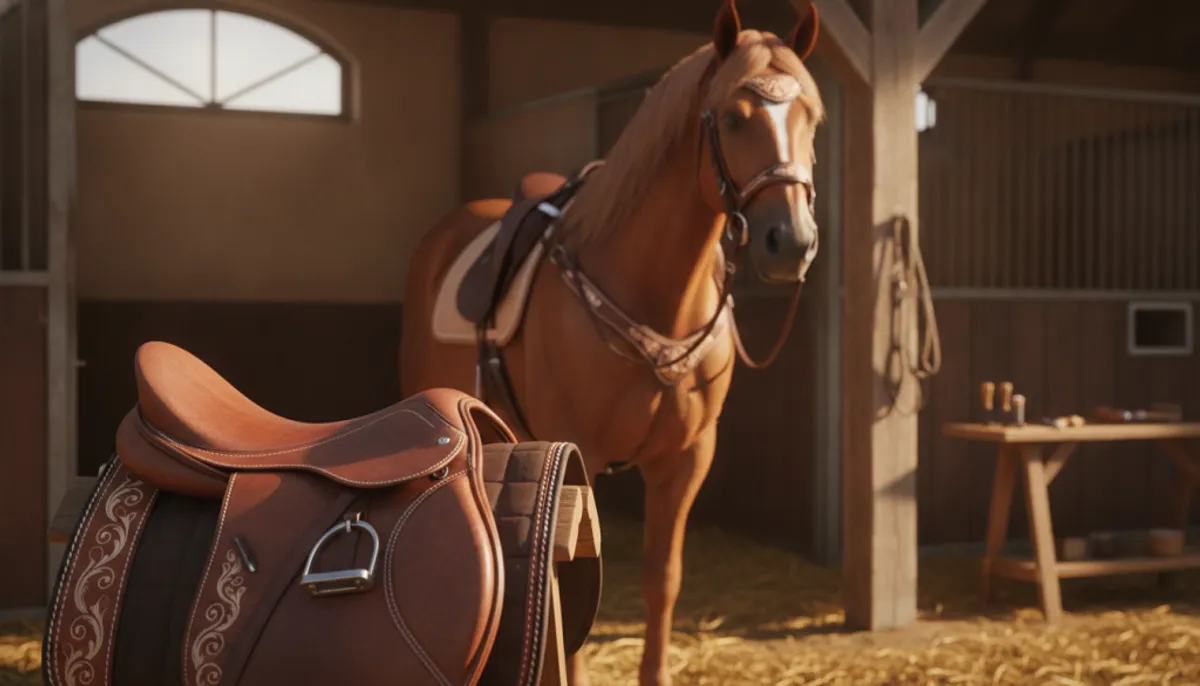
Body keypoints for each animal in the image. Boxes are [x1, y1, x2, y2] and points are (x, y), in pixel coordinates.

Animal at [399, 2, 825, 683]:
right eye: (734, 116)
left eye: (813, 116)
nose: (791, 241)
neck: (652, 296)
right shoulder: (585, 454)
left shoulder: (686, 458)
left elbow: (662, 580)